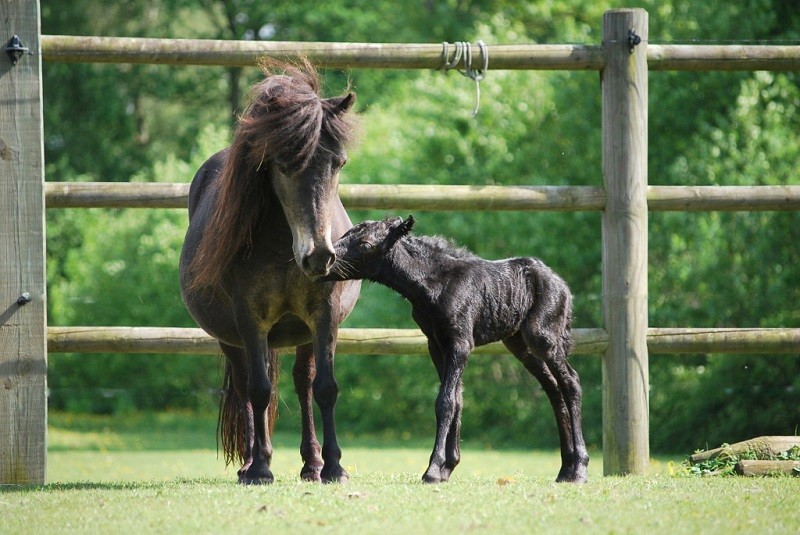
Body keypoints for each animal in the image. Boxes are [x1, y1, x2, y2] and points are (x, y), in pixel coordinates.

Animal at [322, 216, 592, 484]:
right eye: (346, 234)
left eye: (366, 245)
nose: (325, 264)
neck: (432, 287)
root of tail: (563, 287)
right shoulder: (435, 344)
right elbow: (457, 399)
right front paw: (448, 467)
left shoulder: (461, 342)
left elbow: (446, 401)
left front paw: (433, 469)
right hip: (520, 344)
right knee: (554, 389)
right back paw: (565, 469)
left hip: (543, 337)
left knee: (571, 382)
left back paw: (579, 469)